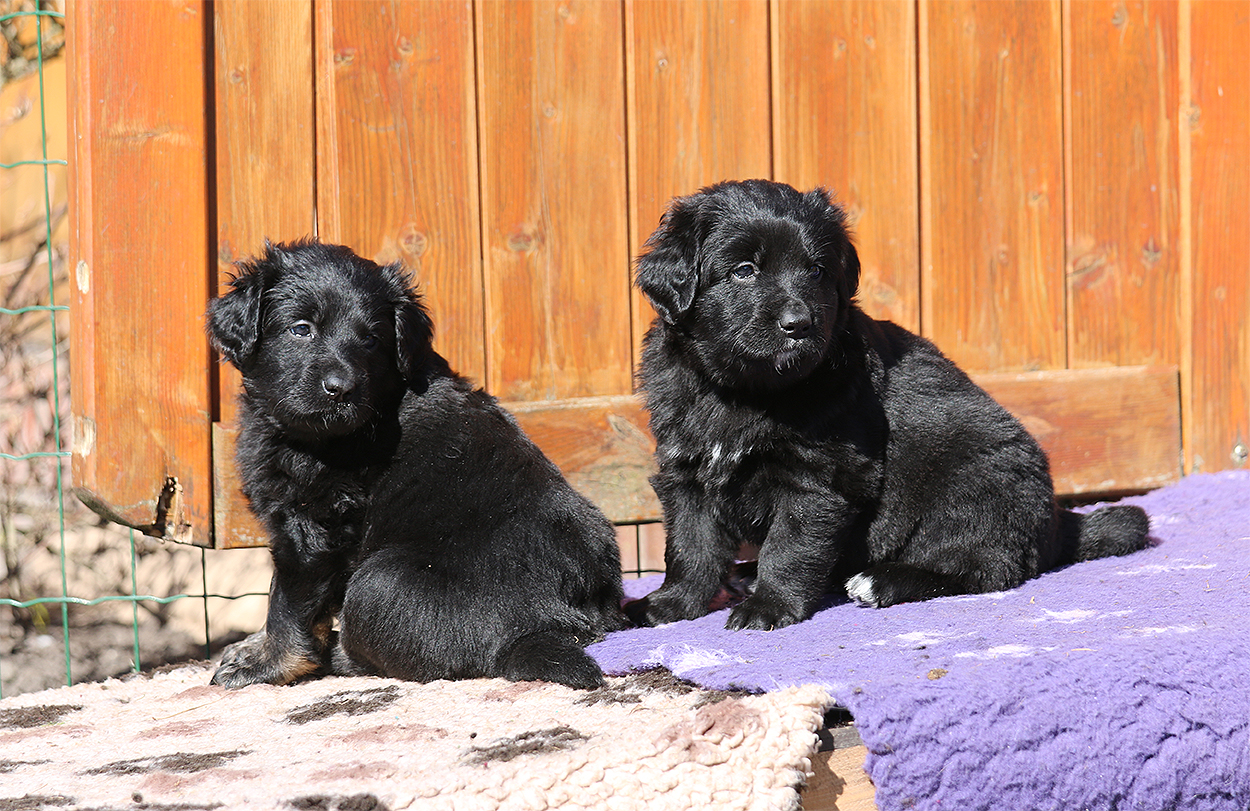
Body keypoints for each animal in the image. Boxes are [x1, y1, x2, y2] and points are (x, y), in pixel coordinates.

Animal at [206, 240, 625, 689]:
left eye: (372, 340)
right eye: (301, 329)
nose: (341, 390)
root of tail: (544, 628)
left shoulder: (314, 524)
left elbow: (287, 605)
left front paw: (264, 664)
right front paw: (254, 646)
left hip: (378, 584)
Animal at [627, 180, 1150, 631]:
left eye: (817, 270)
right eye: (743, 270)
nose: (800, 323)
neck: (744, 389)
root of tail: (1056, 521)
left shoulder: (819, 476)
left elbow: (790, 545)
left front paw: (769, 606)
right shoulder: (687, 469)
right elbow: (690, 546)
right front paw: (670, 604)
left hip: (976, 483)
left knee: (982, 567)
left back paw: (880, 582)